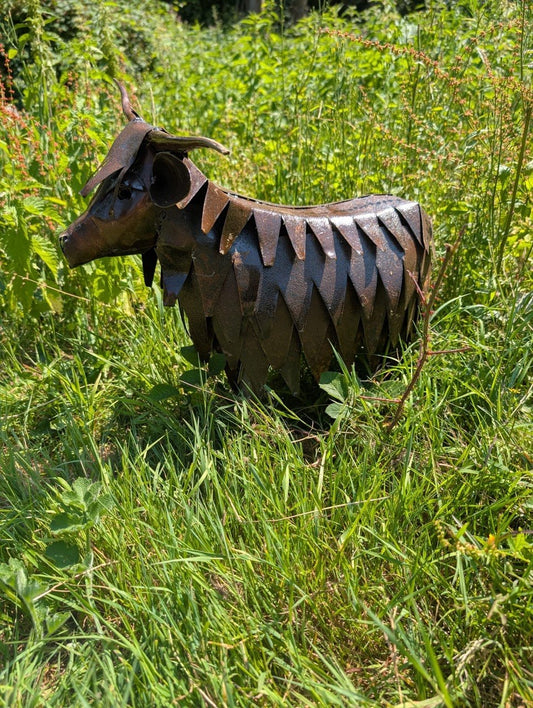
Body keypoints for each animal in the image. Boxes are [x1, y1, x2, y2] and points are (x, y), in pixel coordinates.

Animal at [60, 83, 433, 394]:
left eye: (124, 191)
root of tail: (416, 207)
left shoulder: (255, 333)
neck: (216, 243)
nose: (64, 240)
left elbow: (251, 393)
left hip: (405, 315)